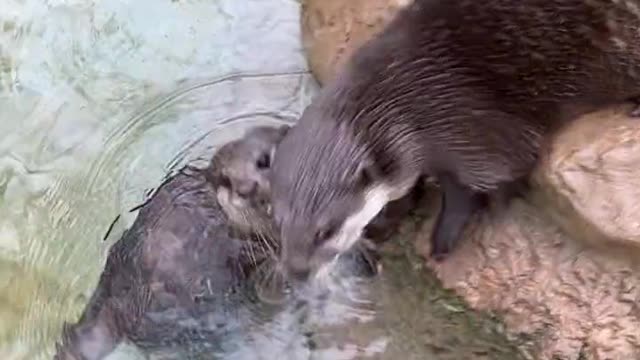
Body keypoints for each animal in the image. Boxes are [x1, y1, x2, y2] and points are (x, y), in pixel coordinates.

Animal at [268, 0, 640, 282]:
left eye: (325, 230)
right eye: (278, 222)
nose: (296, 272)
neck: (409, 96)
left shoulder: (470, 132)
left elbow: (473, 189)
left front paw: (442, 241)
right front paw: (383, 224)